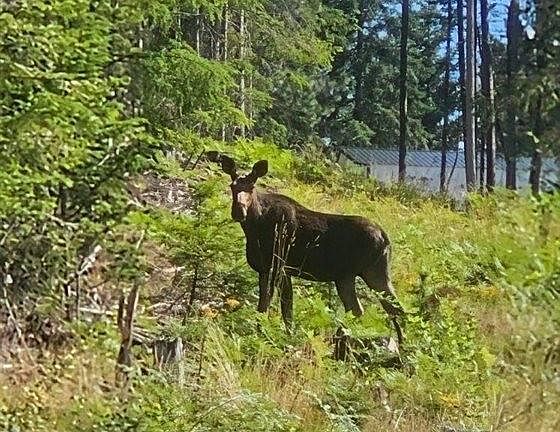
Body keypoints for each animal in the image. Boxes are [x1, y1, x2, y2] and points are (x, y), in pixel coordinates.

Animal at [207, 152, 404, 344]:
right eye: (232, 186)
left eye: (252, 187)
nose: (239, 212)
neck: (255, 227)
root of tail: (386, 238)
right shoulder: (266, 269)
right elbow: (272, 306)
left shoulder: (280, 266)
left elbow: (279, 306)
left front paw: (276, 335)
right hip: (350, 276)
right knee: (363, 309)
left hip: (367, 272)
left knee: (393, 308)